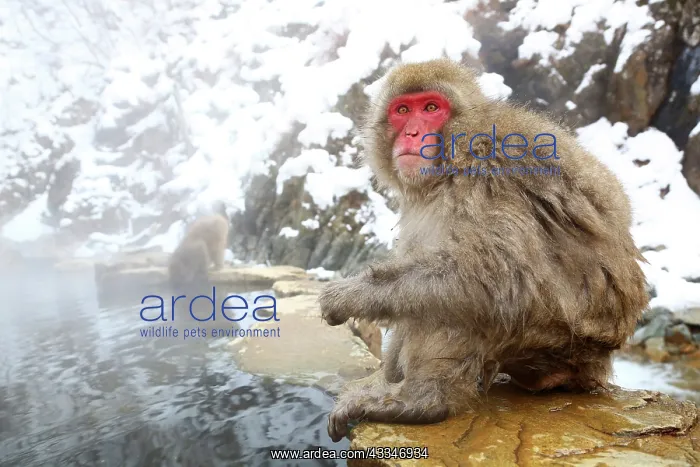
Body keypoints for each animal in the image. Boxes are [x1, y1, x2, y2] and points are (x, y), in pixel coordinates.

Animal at [319, 58, 649, 442]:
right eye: (402, 111)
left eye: (431, 108)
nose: (413, 133)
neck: (451, 162)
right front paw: (380, 377)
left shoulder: (487, 177)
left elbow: (498, 277)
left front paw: (348, 296)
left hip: (562, 338)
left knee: (474, 299)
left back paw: (423, 401)